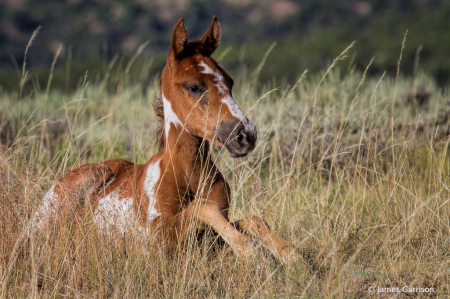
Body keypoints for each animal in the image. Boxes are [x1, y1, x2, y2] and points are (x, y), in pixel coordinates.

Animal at [33, 16, 298, 264]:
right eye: (194, 87)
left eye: (230, 82)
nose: (246, 135)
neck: (187, 172)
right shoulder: (157, 240)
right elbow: (204, 207)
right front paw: (251, 252)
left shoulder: (212, 240)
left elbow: (252, 220)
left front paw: (289, 255)